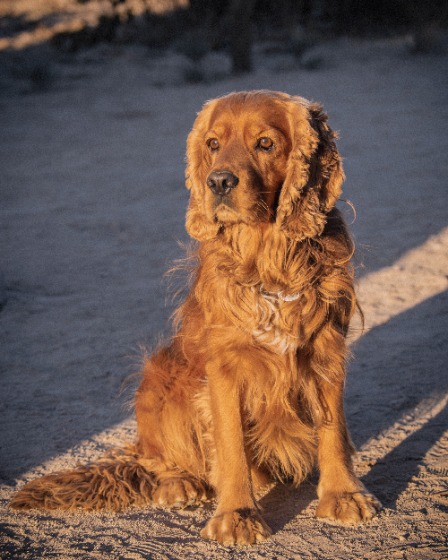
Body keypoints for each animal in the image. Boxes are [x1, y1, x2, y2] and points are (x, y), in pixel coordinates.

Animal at [12, 92, 380, 548]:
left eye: (265, 143)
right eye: (212, 144)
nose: (218, 182)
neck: (269, 262)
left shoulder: (325, 350)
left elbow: (333, 432)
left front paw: (343, 494)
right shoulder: (224, 369)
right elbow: (231, 445)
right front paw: (237, 515)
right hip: (157, 377)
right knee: (154, 457)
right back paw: (180, 484)